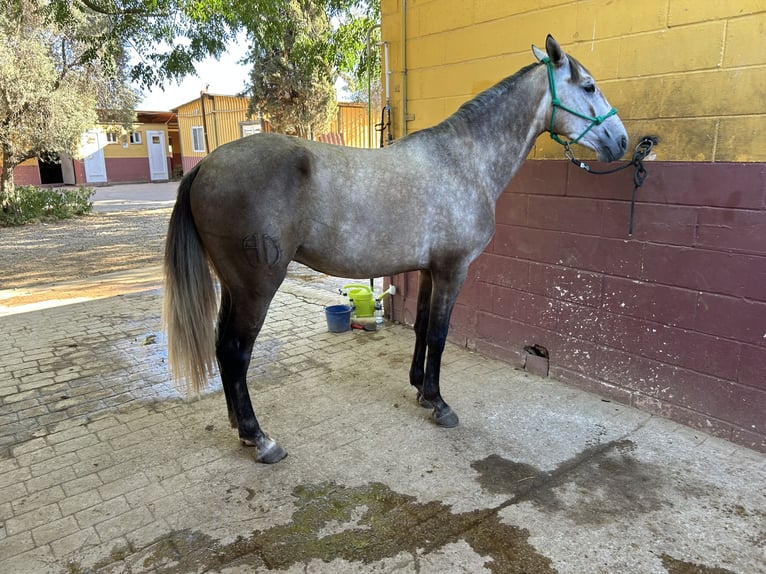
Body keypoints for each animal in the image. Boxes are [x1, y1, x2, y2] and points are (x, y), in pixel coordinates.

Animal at [163, 35, 628, 463]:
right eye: (588, 86)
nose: (622, 141)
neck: (464, 161)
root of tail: (206, 165)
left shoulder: (428, 269)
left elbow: (422, 328)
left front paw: (421, 390)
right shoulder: (453, 270)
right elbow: (440, 334)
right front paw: (439, 405)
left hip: (233, 286)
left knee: (222, 348)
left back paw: (239, 427)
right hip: (255, 288)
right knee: (235, 352)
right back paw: (260, 438)